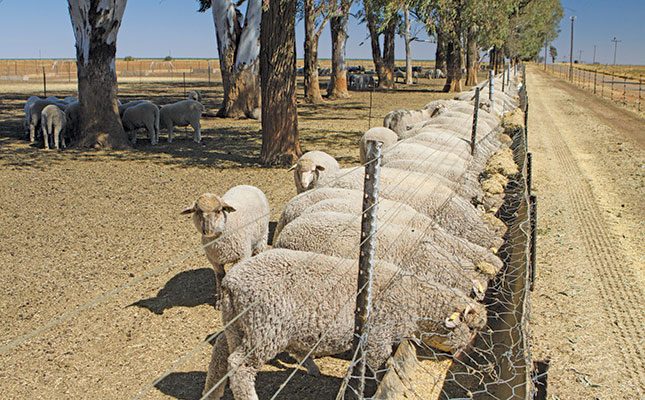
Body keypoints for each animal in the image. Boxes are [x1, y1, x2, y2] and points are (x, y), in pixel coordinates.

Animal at [201, 248, 484, 398]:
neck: (412, 298)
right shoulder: (377, 335)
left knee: (220, 354)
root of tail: (231, 282)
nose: (471, 356)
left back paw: (212, 392)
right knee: (240, 366)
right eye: (470, 328)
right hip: (265, 327)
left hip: (237, 324)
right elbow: (381, 366)